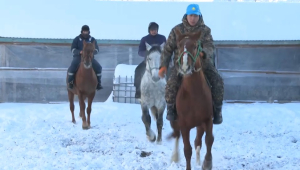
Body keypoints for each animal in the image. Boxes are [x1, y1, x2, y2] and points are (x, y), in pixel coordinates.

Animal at [168, 29, 214, 170]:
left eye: (194, 46)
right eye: (178, 46)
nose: (185, 67)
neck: (194, 94)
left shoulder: (207, 119)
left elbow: (209, 140)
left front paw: (207, 163)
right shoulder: (184, 125)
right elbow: (187, 150)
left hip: (200, 125)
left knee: (198, 141)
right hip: (175, 122)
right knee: (177, 136)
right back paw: (174, 156)